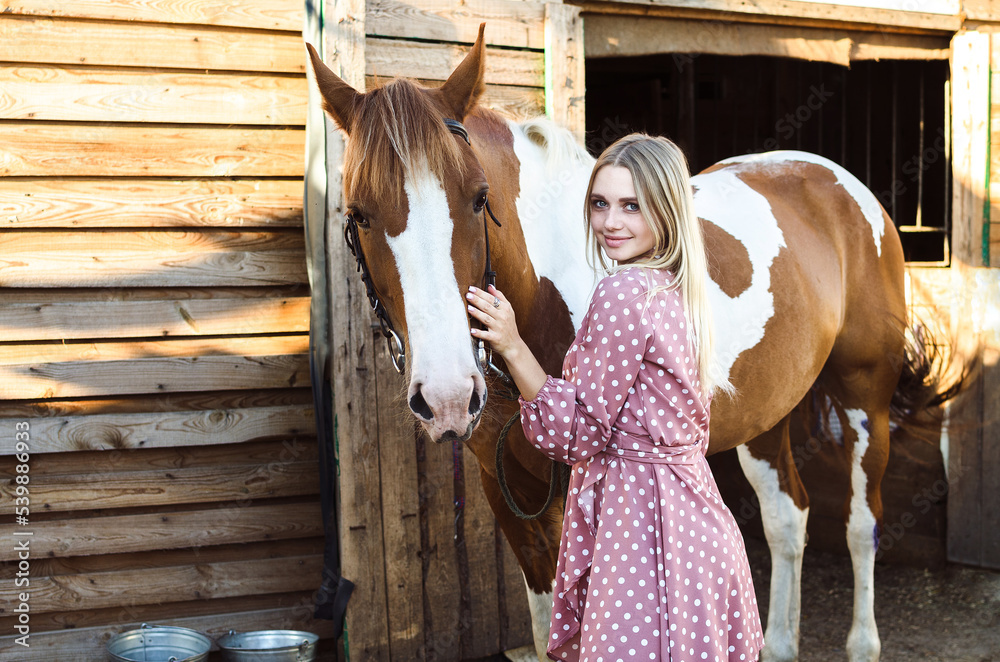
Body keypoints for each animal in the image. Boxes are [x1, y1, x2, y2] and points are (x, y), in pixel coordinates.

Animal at [308, 26, 948, 662]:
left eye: (478, 198)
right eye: (358, 214)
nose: (445, 396)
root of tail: (842, 186)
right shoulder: (510, 493)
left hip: (864, 398)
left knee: (862, 523)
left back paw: (863, 641)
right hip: (765, 413)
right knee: (787, 518)